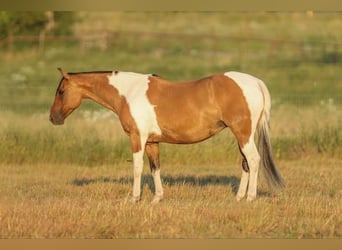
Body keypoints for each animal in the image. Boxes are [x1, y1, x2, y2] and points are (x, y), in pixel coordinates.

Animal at [49, 68, 284, 203]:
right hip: (243, 136)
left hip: (243, 134)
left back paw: (250, 198)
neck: (129, 92)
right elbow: (155, 168)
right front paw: (157, 198)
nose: (53, 118)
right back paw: (239, 197)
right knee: (246, 163)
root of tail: (255, 82)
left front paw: (134, 198)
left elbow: (137, 168)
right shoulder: (152, 142)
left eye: (61, 91)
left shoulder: (137, 138)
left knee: (253, 161)